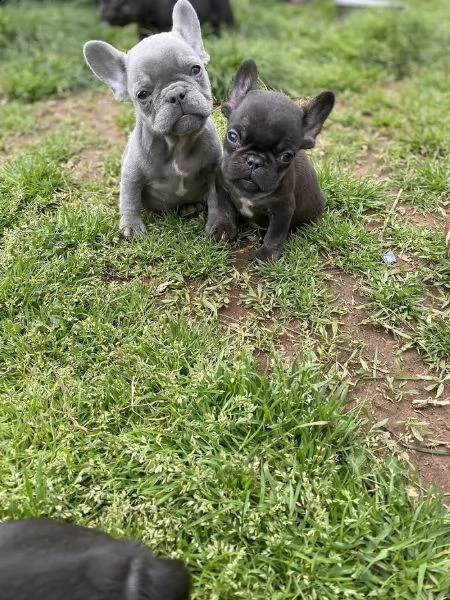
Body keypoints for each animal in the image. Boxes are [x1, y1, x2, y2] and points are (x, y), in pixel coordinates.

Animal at [207, 60, 334, 262]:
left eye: (286, 156)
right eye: (233, 136)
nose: (254, 161)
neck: (248, 193)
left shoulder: (283, 209)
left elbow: (275, 234)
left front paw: (266, 255)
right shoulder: (222, 187)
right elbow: (224, 210)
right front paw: (223, 230)